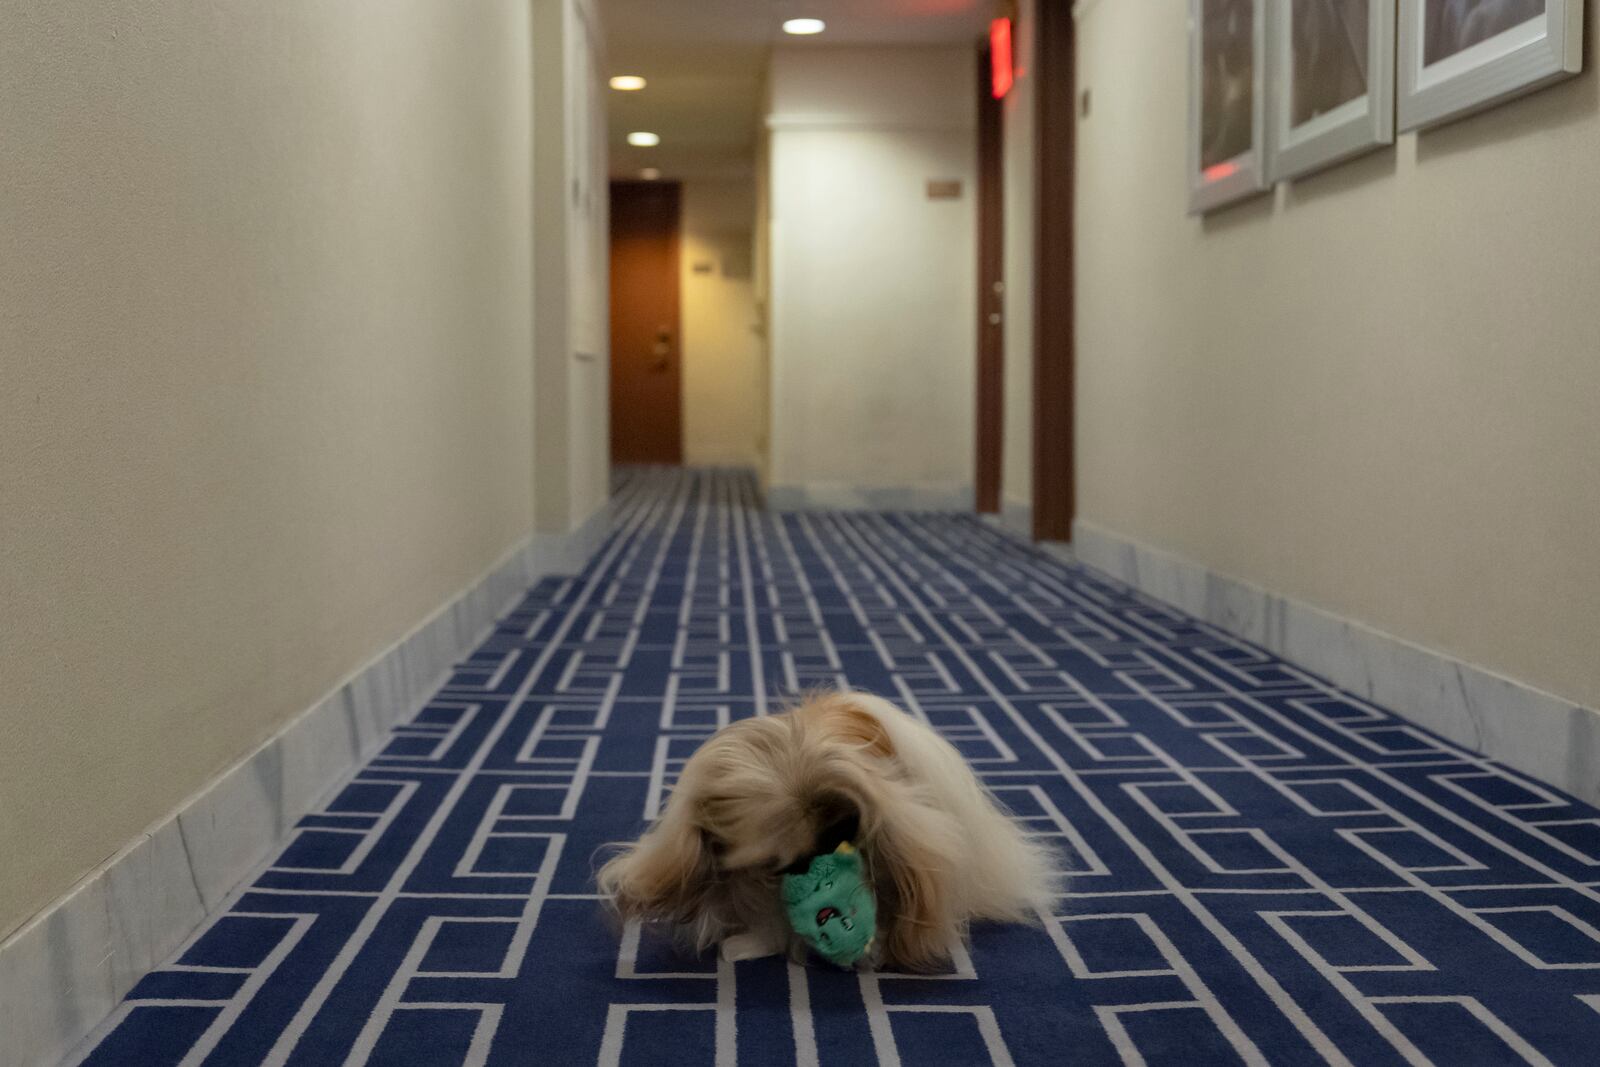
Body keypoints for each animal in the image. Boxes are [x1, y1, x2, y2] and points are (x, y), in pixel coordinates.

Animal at [595, 687, 1056, 972]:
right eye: (785, 864)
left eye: (842, 829)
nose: (819, 860)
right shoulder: (749, 876)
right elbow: (763, 913)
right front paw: (752, 944)